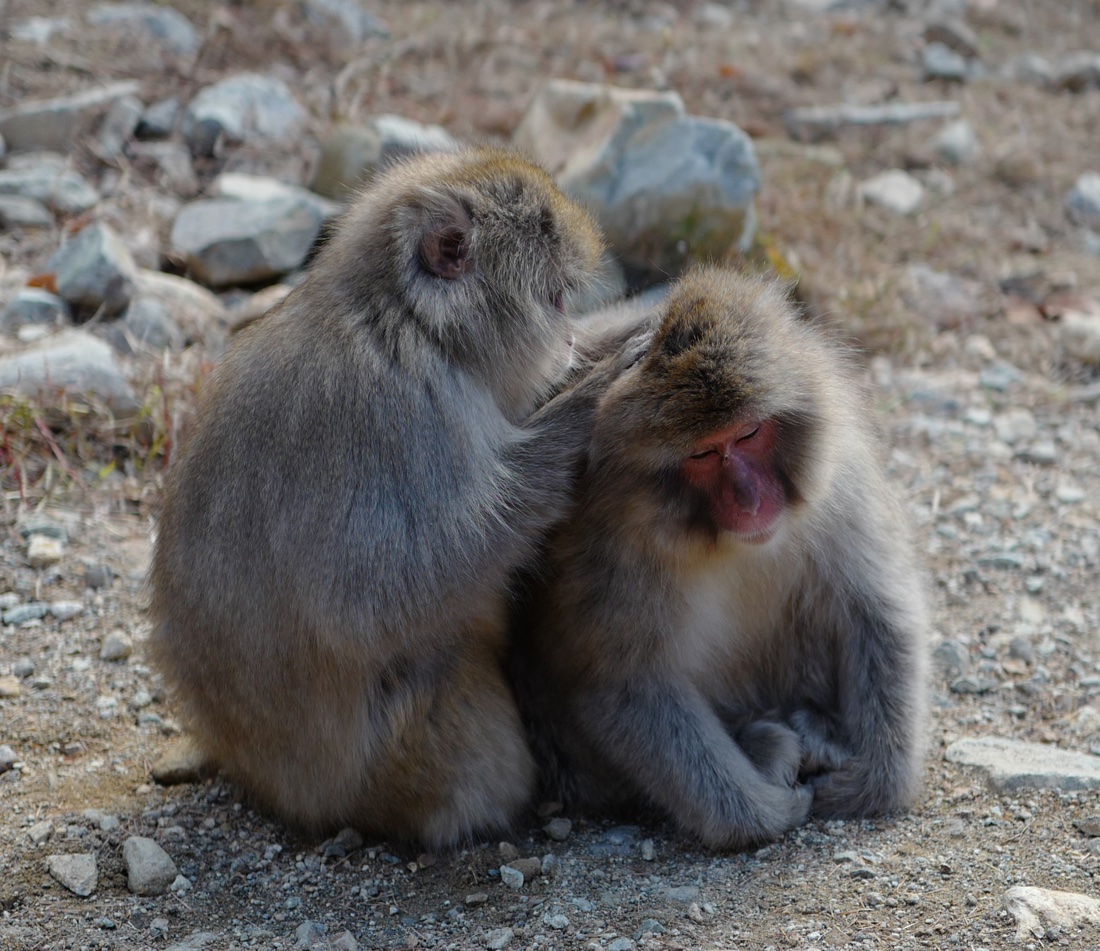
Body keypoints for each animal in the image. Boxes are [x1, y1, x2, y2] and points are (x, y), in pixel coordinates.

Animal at [151, 148, 620, 844]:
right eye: (542, 229)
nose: (565, 340)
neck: (411, 324)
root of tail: (260, 776)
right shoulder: (396, 415)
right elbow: (371, 598)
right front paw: (581, 408)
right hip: (397, 759)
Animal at [512, 264, 928, 844]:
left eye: (749, 433)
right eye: (704, 453)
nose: (750, 501)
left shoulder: (839, 480)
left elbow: (876, 611)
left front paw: (874, 780)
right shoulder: (610, 550)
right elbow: (626, 685)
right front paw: (762, 811)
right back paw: (769, 745)